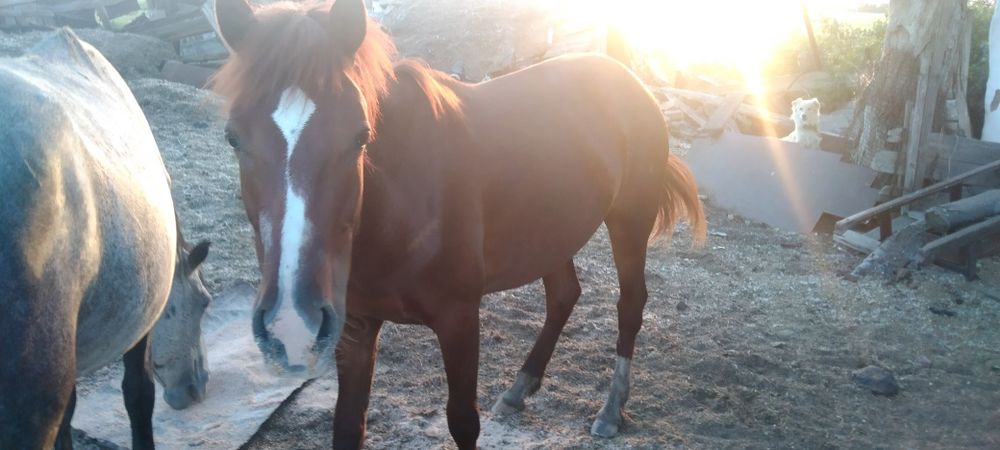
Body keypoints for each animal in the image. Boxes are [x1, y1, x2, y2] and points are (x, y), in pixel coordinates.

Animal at [212, 0, 706, 448]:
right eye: (232, 137)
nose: (291, 322)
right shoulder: (355, 326)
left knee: (630, 305)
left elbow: (462, 421)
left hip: (629, 220)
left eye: (360, 136)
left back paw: (610, 409)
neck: (401, 207)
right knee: (564, 295)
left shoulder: (460, 319)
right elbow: (348, 424)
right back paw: (518, 389)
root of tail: (629, 79)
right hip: (550, 232)